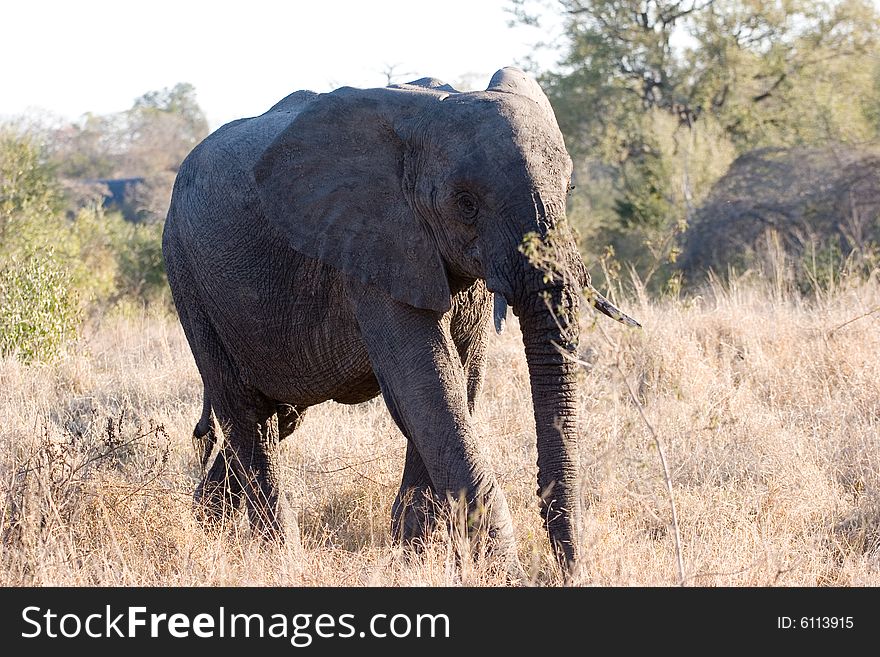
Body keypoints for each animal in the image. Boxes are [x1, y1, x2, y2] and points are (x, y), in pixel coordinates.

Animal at [160, 68, 640, 580]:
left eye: (569, 191)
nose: (567, 571)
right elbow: (428, 388)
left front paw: (412, 558)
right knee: (248, 417)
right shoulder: (371, 246)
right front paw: (500, 576)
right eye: (465, 203)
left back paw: (204, 525)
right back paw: (280, 557)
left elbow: (458, 383)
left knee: (276, 417)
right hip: (188, 277)